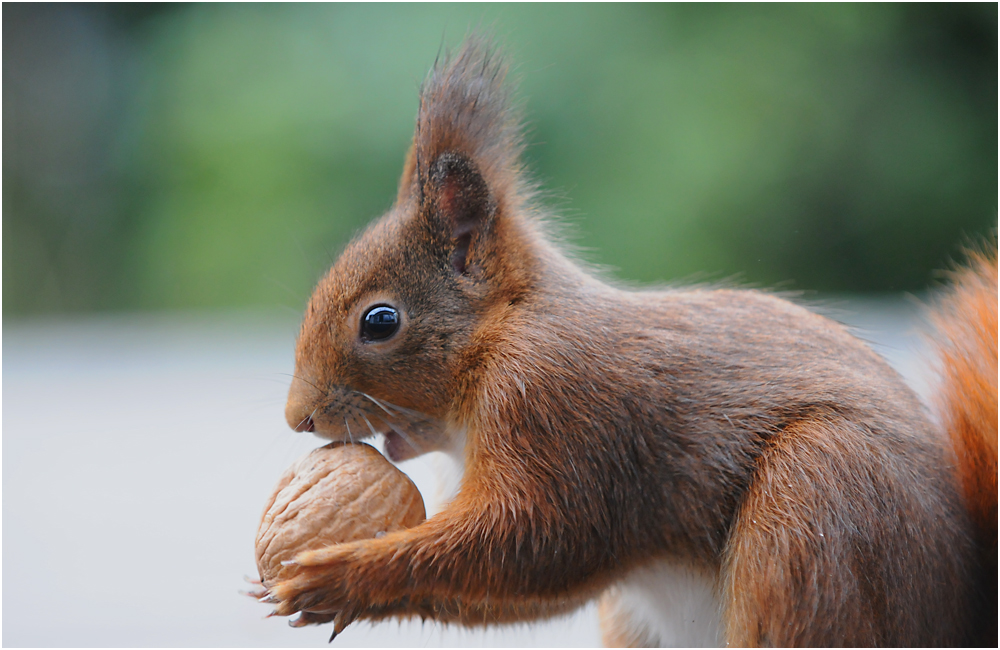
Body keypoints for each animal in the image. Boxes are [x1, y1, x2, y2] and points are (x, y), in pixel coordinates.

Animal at [262, 39, 996, 644]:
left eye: (380, 322)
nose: (298, 418)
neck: (504, 335)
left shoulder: (559, 409)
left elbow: (534, 541)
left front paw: (337, 575)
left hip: (819, 506)